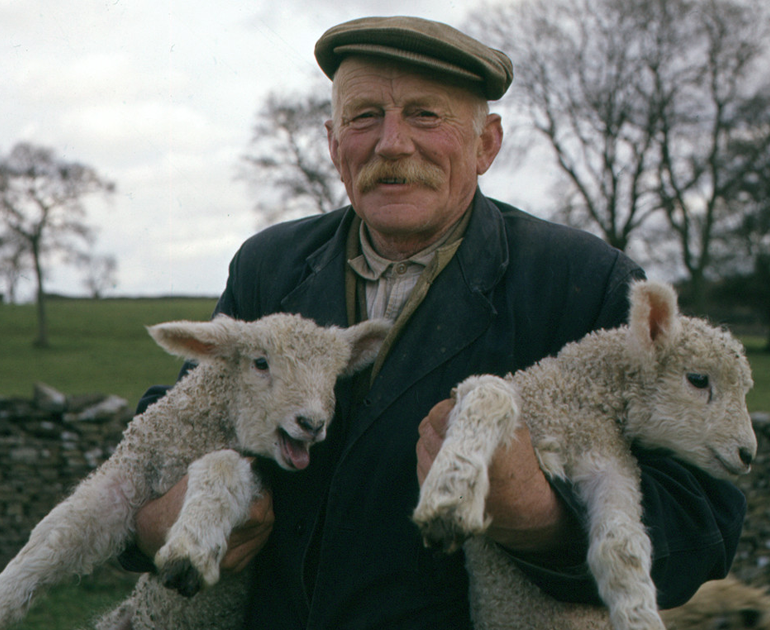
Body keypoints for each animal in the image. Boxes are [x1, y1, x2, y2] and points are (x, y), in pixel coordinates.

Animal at [0, 312, 391, 630]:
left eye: (334, 376)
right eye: (260, 363)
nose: (312, 423)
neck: (193, 438)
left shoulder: (256, 477)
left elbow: (221, 468)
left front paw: (190, 552)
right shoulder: (129, 474)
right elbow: (61, 530)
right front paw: (6, 594)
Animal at [413, 280, 756, 630]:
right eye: (698, 380)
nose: (748, 453)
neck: (576, 402)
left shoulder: (609, 461)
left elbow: (622, 544)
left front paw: (639, 615)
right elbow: (490, 393)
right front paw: (451, 495)